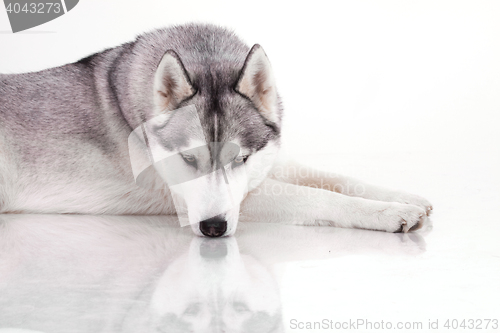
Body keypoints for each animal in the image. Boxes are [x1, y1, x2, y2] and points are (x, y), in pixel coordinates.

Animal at [0, 24, 430, 236]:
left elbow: (337, 177)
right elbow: (320, 197)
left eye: (242, 158)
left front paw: (403, 197)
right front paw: (389, 214)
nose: (212, 228)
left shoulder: (266, 162)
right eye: (187, 159)